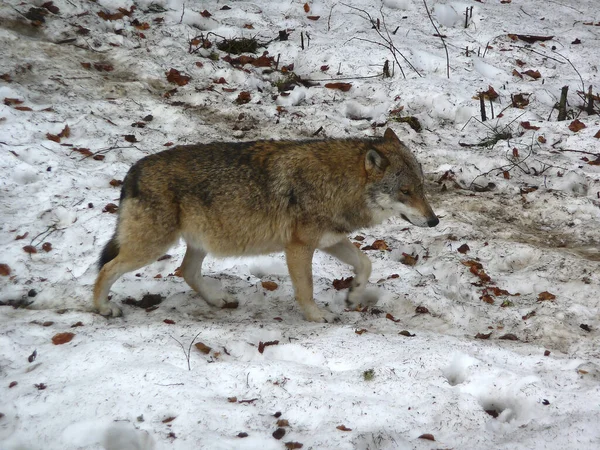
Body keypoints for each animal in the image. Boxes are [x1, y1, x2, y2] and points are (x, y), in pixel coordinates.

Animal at [96, 128, 438, 322]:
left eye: (422, 187)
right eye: (405, 191)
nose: (434, 220)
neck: (339, 183)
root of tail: (133, 170)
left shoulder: (330, 240)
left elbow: (366, 264)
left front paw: (353, 294)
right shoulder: (299, 247)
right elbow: (306, 289)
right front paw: (317, 316)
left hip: (199, 243)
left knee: (187, 272)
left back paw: (218, 299)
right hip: (152, 247)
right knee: (105, 270)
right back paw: (102, 308)